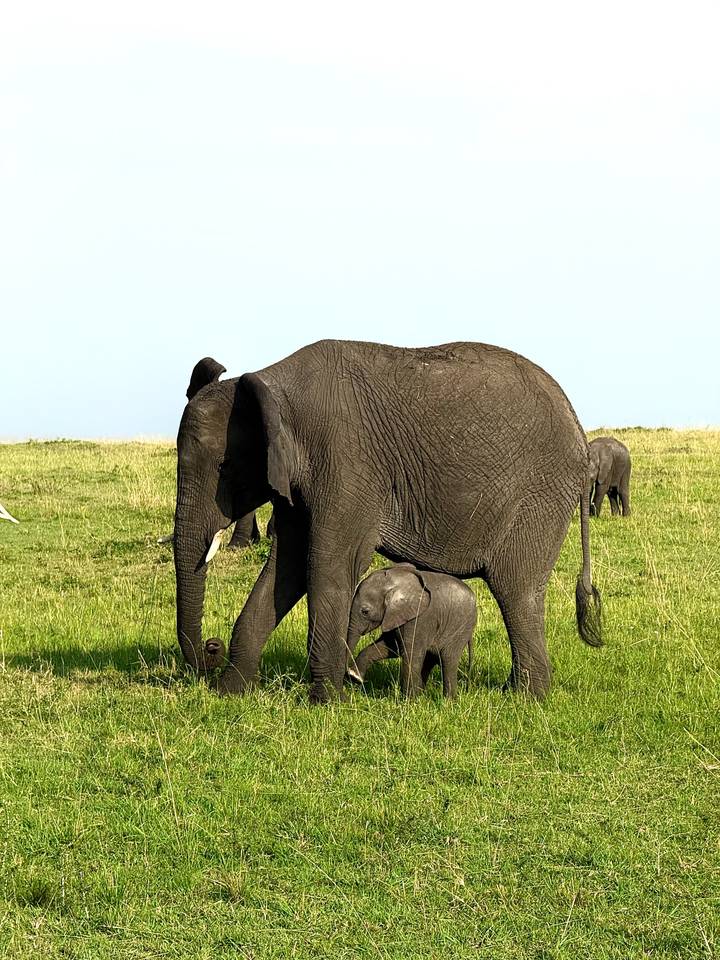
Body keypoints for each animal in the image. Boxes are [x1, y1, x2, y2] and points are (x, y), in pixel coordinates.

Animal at [346, 564, 476, 698]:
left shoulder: (420, 617)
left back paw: (447, 701)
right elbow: (391, 646)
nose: (348, 677)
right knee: (430, 659)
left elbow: (411, 652)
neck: (395, 581)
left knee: (448, 660)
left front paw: (409, 701)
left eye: (365, 611)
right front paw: (355, 676)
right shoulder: (396, 615)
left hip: (460, 628)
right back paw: (423, 695)